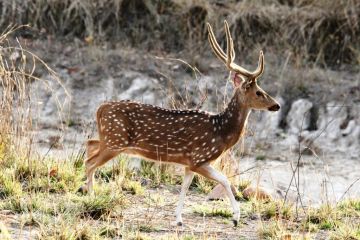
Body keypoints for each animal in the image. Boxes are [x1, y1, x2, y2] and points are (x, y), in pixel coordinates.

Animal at [79, 21, 282, 227]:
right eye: (259, 92)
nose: (277, 105)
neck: (220, 131)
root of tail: (100, 108)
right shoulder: (200, 158)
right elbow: (225, 180)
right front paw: (235, 217)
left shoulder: (189, 163)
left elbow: (185, 186)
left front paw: (178, 219)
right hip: (115, 141)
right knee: (90, 162)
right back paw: (92, 198)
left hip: (109, 139)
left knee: (90, 144)